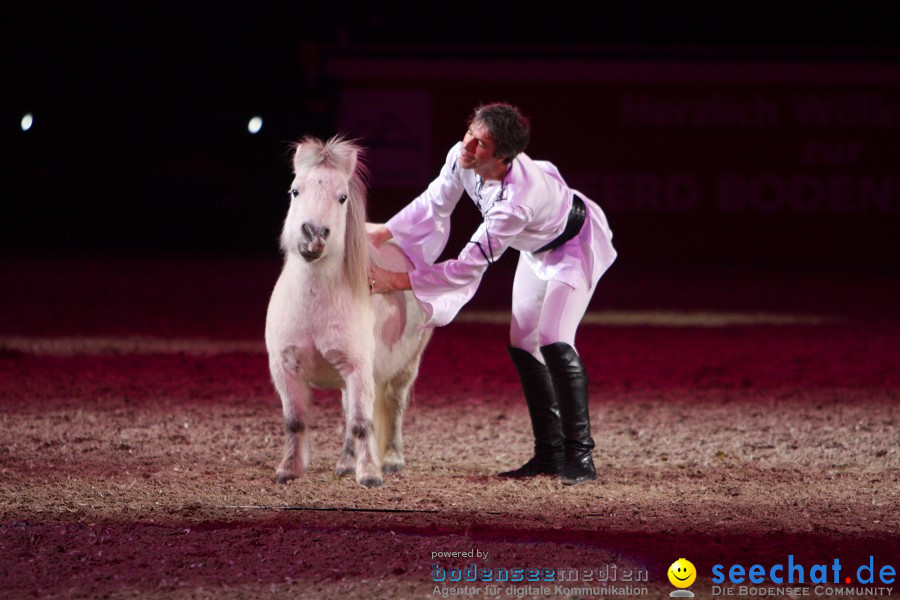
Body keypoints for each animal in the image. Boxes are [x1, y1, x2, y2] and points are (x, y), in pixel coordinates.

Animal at [264, 136, 432, 488]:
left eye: (341, 197)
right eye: (294, 190)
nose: (313, 234)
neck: (314, 306)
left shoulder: (358, 370)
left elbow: (361, 423)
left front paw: (369, 475)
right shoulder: (285, 370)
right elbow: (295, 421)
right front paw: (289, 470)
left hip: (404, 369)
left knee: (394, 407)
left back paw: (391, 459)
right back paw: (344, 463)